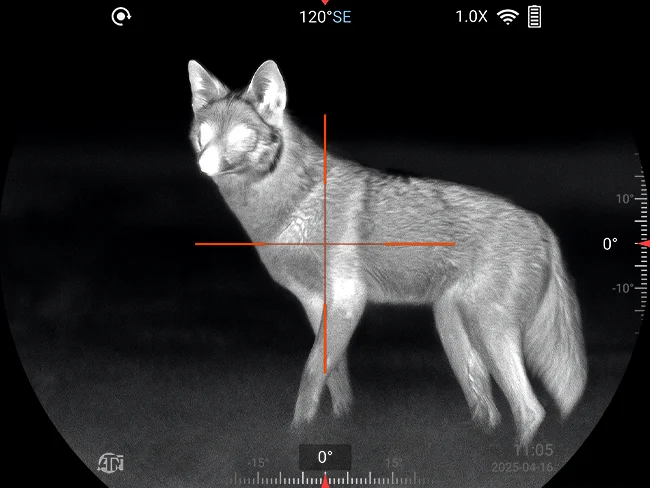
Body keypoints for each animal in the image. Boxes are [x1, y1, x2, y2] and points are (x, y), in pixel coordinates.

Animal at [187, 59, 588, 446]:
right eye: (202, 135)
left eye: (238, 134)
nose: (202, 166)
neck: (292, 205)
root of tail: (540, 223)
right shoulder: (317, 304)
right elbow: (335, 379)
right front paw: (337, 428)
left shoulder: (348, 299)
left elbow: (312, 373)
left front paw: (295, 435)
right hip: (456, 334)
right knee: (489, 411)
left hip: (487, 330)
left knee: (531, 410)